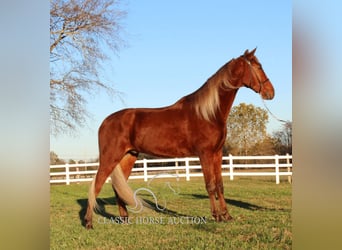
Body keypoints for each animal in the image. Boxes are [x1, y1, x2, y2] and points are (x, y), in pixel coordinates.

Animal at [85, 48, 276, 229]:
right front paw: (217, 216)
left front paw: (227, 216)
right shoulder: (205, 154)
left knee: (117, 187)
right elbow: (210, 185)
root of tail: (105, 122)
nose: (270, 92)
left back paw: (124, 219)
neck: (208, 113)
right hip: (110, 157)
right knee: (96, 184)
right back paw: (88, 223)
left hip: (128, 157)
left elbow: (220, 185)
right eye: (258, 66)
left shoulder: (217, 153)